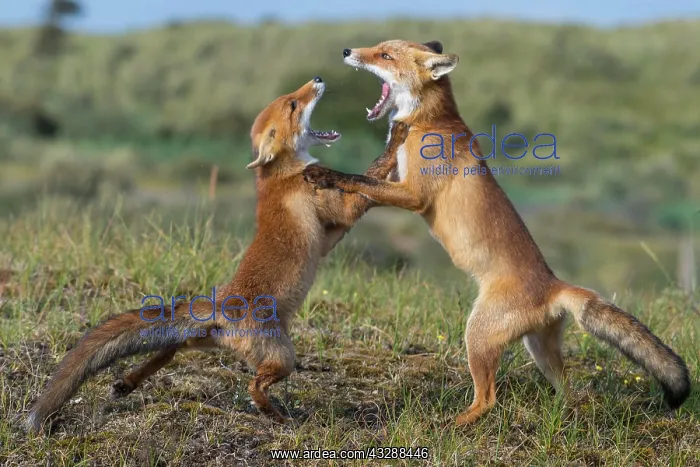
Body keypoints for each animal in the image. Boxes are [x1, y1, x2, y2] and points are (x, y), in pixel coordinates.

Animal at [26, 76, 410, 433]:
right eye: (292, 104)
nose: (316, 79)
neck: (278, 174)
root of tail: (222, 302)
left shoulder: (328, 236)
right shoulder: (337, 210)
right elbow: (367, 182)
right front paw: (398, 139)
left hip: (207, 342)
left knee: (171, 348)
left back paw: (129, 382)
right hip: (283, 355)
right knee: (254, 385)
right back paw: (277, 416)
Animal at [303, 40, 691, 426]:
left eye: (385, 55)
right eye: (377, 47)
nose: (347, 51)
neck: (428, 121)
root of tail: (554, 284)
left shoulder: (413, 194)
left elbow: (358, 179)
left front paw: (326, 175)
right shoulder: (396, 179)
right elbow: (369, 179)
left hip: (477, 335)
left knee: (488, 399)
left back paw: (455, 423)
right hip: (539, 350)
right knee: (568, 391)